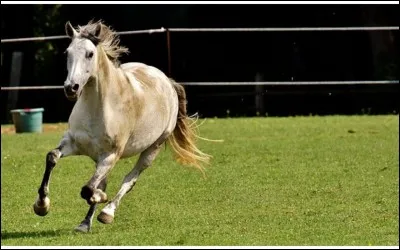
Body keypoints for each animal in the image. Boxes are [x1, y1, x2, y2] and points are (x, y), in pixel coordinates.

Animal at [32, 20, 212, 233]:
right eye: (67, 53)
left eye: (90, 54)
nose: (71, 88)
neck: (99, 107)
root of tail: (167, 81)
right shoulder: (73, 143)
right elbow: (52, 157)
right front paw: (41, 205)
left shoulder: (111, 154)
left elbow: (89, 189)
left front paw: (100, 199)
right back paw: (85, 223)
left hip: (152, 149)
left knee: (129, 180)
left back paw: (107, 212)